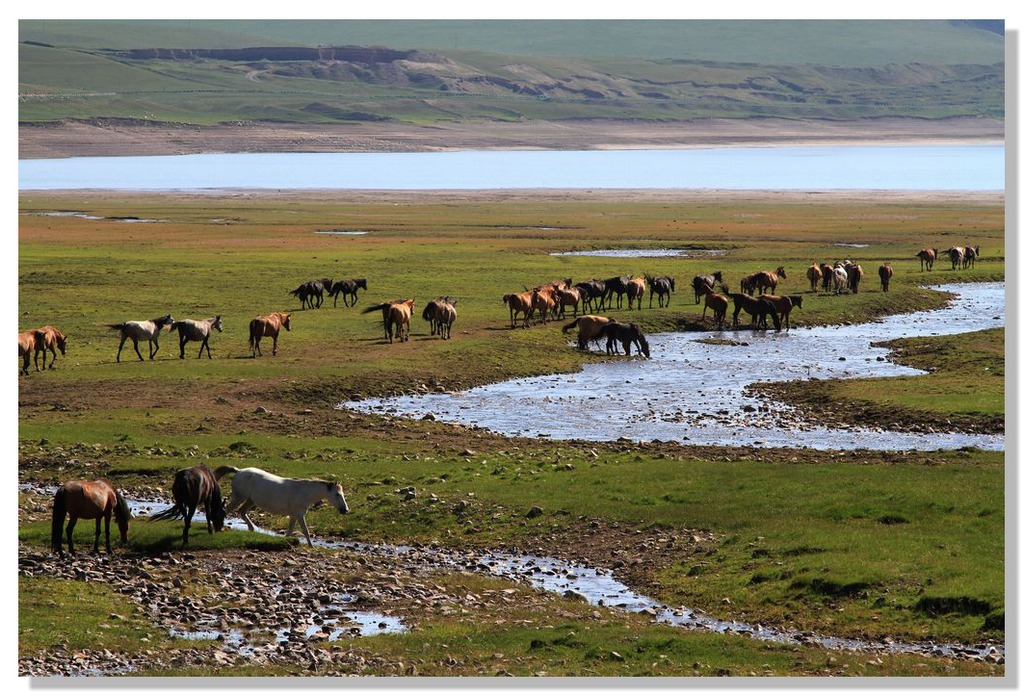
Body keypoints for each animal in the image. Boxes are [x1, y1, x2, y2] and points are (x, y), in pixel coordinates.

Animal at [214, 464, 350, 544]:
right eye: (337, 494)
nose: (345, 510)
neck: (304, 492)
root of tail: (239, 471)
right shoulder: (299, 515)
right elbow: (305, 531)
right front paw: (311, 546)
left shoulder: (294, 515)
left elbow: (290, 531)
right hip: (239, 497)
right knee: (227, 510)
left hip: (250, 500)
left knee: (241, 512)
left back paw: (252, 528)